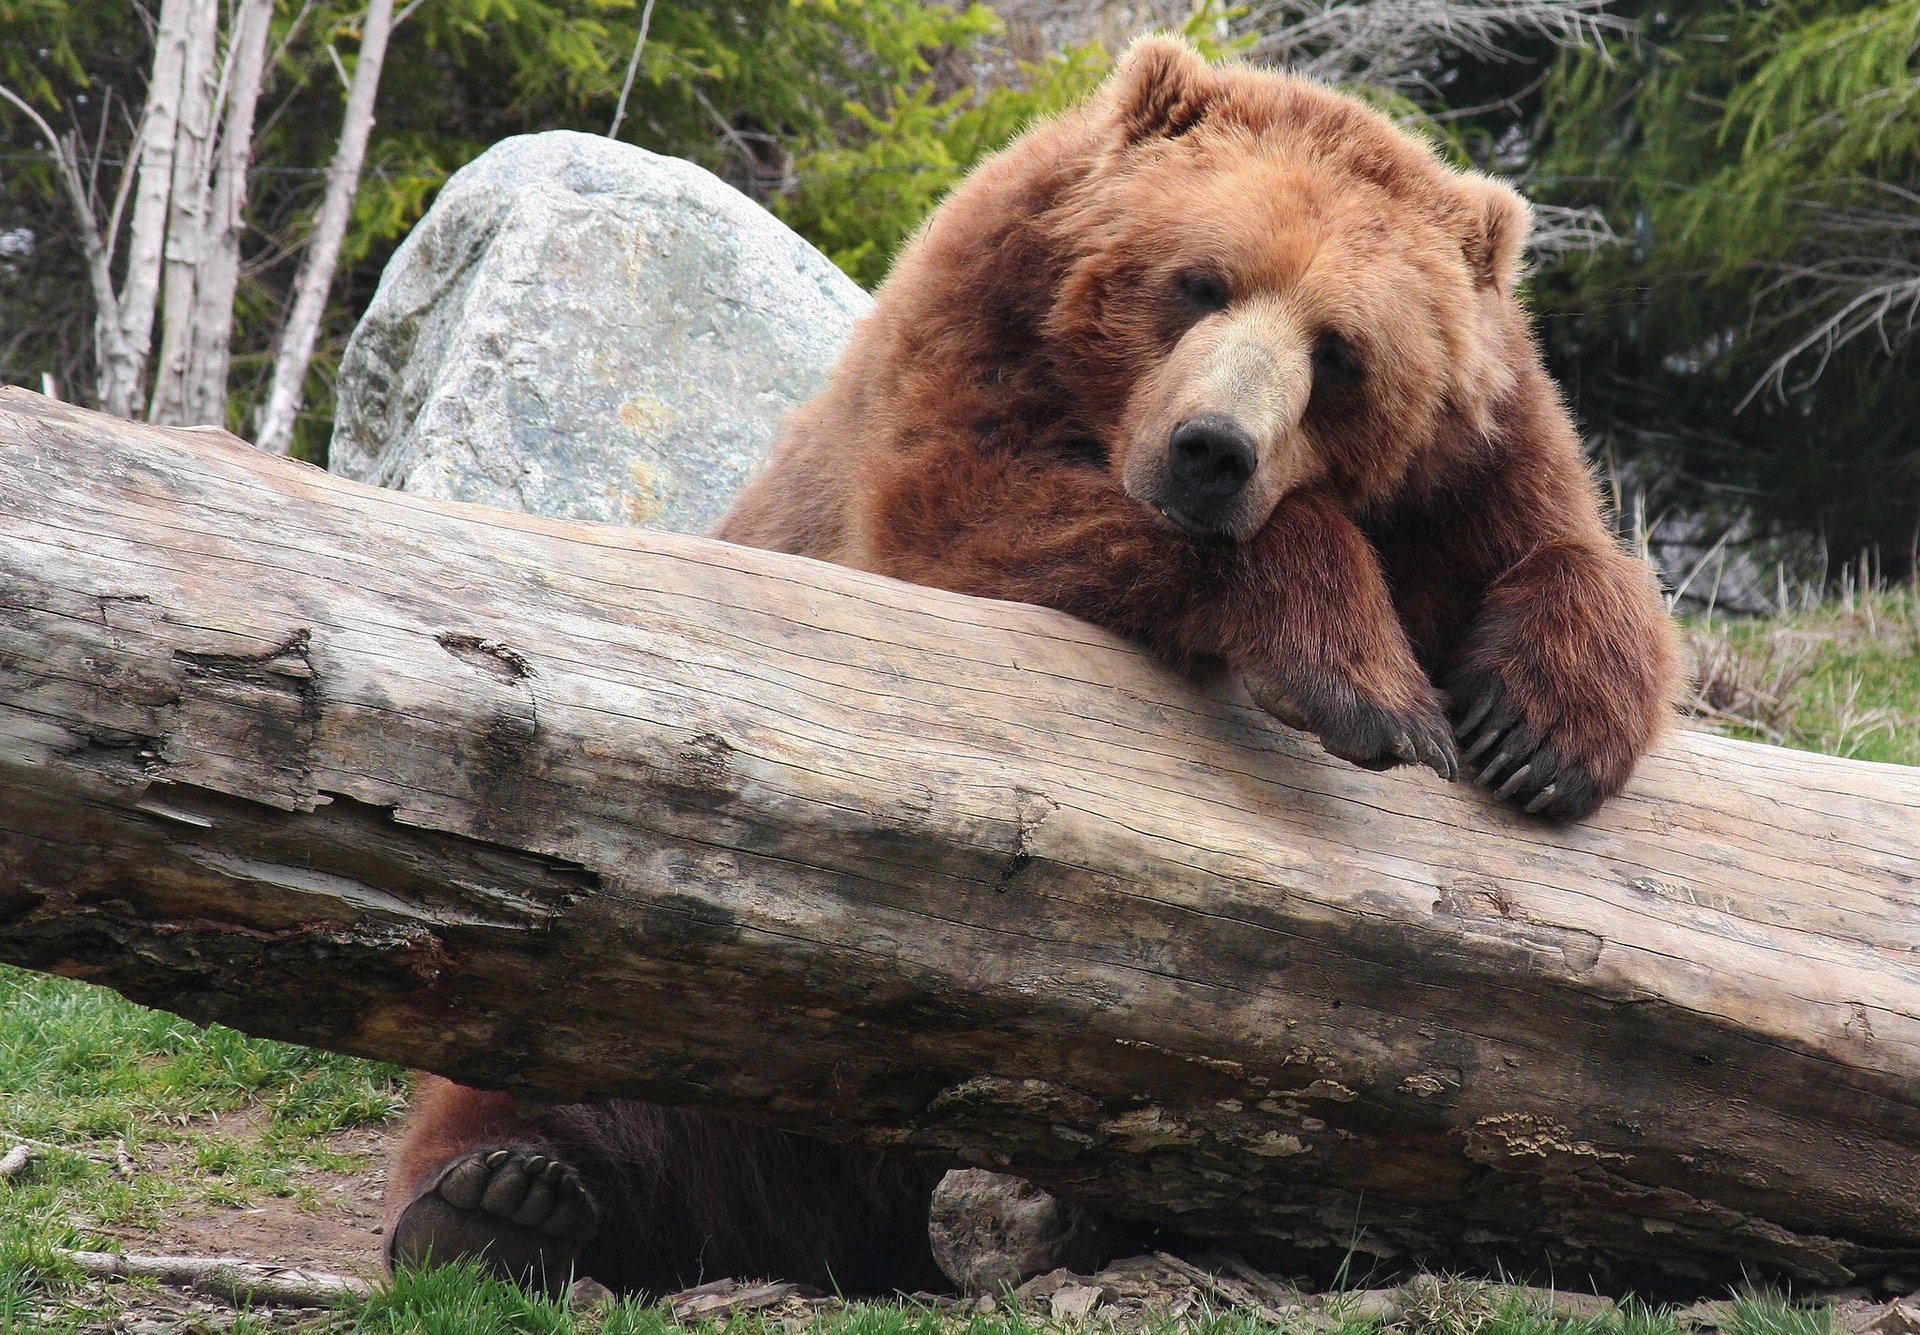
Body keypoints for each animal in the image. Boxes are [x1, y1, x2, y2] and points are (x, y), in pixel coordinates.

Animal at [383, 36, 1681, 1296]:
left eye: (1342, 353)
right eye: (1200, 281)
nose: (1212, 451)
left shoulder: (1475, 474)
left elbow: (1571, 548)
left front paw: (1540, 729)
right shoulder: (971, 354)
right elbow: (981, 524)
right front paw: (1369, 684)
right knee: (601, 1069)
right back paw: (501, 1199)